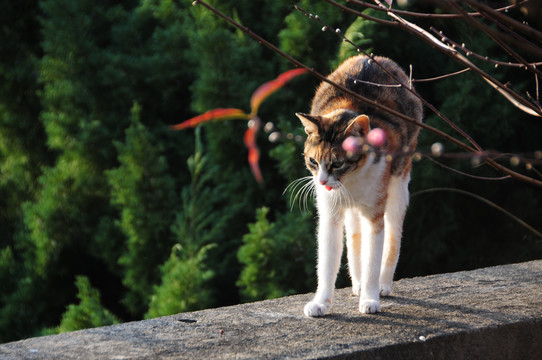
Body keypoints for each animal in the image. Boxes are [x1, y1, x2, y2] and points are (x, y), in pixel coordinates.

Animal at [298, 54, 424, 316]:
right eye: (313, 161)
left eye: (337, 163)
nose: (322, 181)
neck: (350, 181)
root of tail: (372, 57)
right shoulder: (330, 215)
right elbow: (327, 263)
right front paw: (321, 303)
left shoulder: (375, 214)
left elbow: (373, 260)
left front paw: (370, 299)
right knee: (355, 237)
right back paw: (356, 282)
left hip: (398, 188)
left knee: (393, 236)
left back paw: (382, 285)